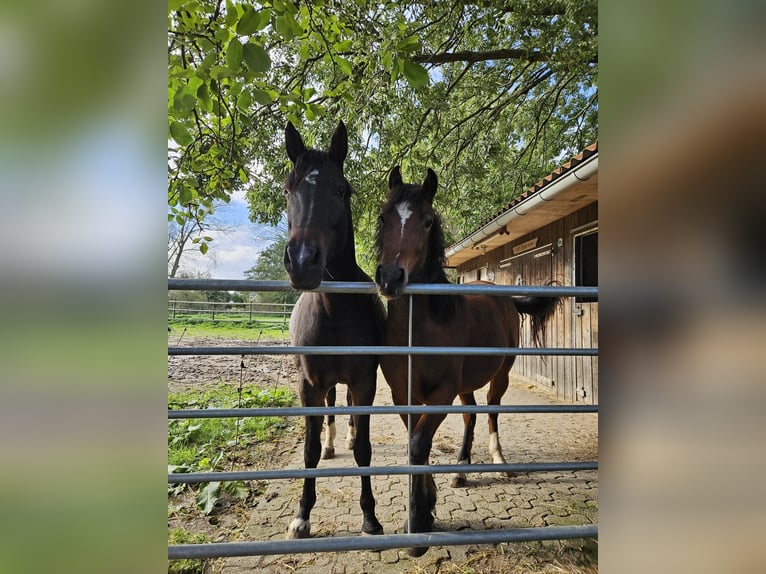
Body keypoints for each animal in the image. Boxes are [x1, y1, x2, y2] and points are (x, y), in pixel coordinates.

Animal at [282, 120, 388, 540]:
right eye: (288, 188)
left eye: (342, 189)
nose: (302, 261)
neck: (334, 310)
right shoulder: (309, 385)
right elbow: (309, 450)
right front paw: (301, 516)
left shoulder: (364, 382)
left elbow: (364, 449)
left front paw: (370, 516)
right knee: (329, 412)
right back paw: (330, 444)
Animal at [376, 166, 560, 560]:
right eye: (384, 217)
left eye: (428, 222)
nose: (390, 278)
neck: (418, 328)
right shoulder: (403, 394)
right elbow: (414, 444)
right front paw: (424, 511)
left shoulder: (441, 393)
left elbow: (419, 444)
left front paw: (418, 523)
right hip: (466, 386)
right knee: (471, 416)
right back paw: (460, 469)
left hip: (500, 374)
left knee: (490, 412)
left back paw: (500, 464)